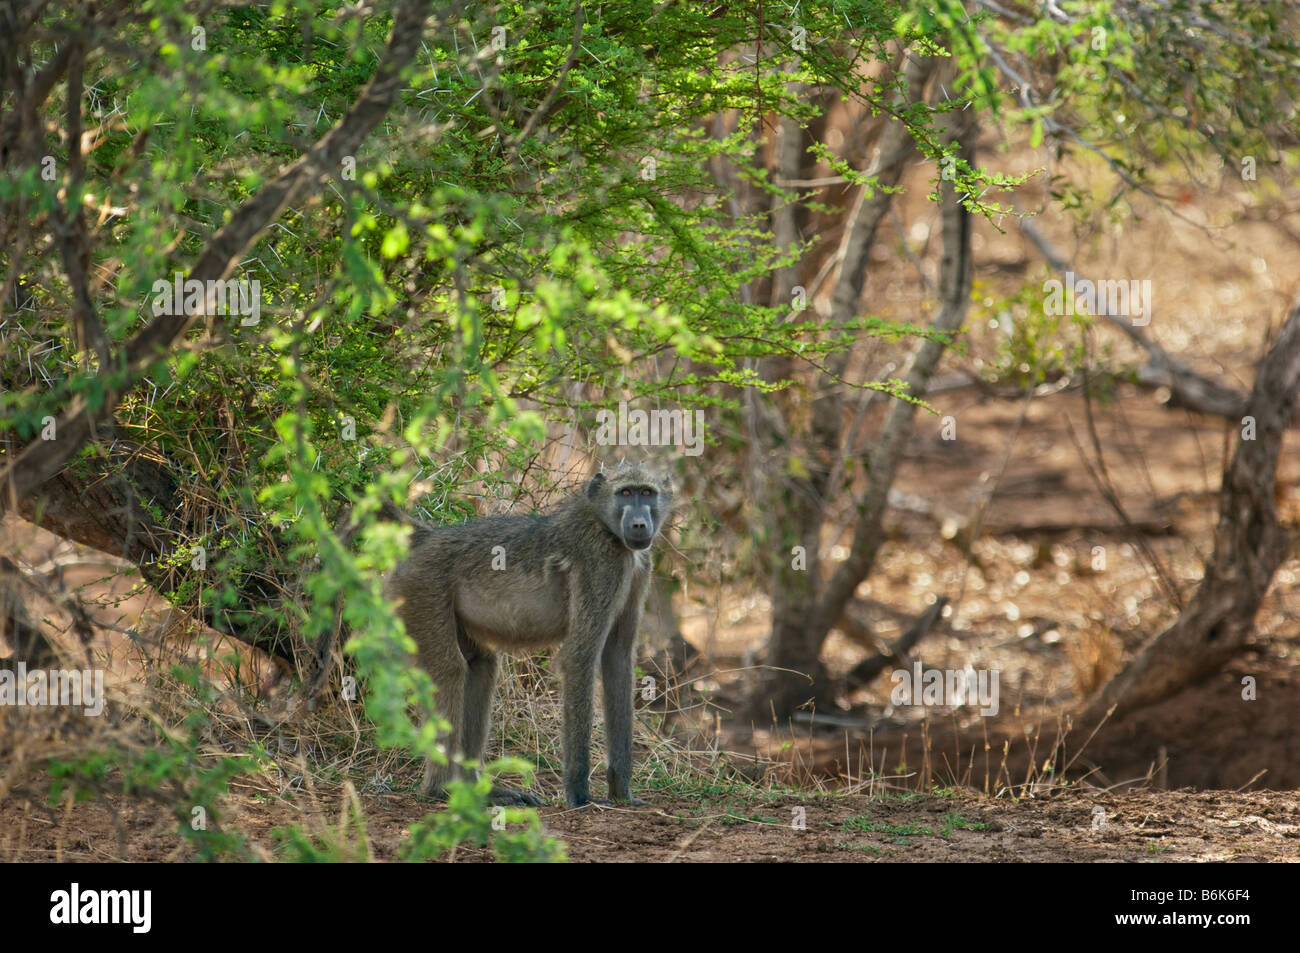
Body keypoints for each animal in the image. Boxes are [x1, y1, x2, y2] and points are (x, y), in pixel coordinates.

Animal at [384, 463, 673, 808]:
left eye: (647, 493)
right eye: (625, 493)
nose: (640, 524)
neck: (605, 527)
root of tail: (425, 539)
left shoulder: (637, 568)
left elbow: (617, 659)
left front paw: (622, 793)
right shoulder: (601, 564)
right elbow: (579, 658)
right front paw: (580, 796)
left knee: (481, 667)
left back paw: (480, 790)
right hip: (421, 589)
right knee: (449, 670)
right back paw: (443, 790)